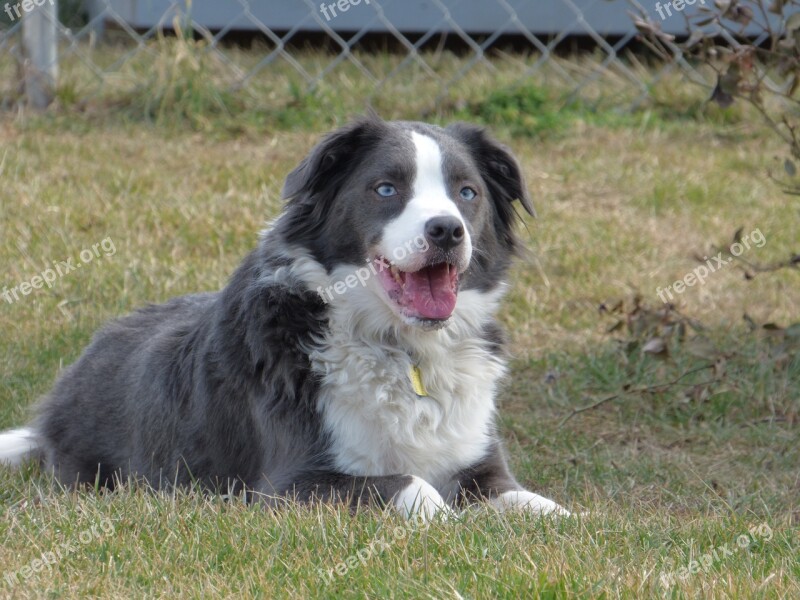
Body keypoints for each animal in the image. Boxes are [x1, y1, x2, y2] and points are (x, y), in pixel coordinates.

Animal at [3, 117, 572, 520]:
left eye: (467, 192)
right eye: (386, 189)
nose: (447, 231)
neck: (402, 348)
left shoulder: (482, 467)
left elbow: (544, 508)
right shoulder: (289, 484)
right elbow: (417, 488)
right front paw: (448, 520)